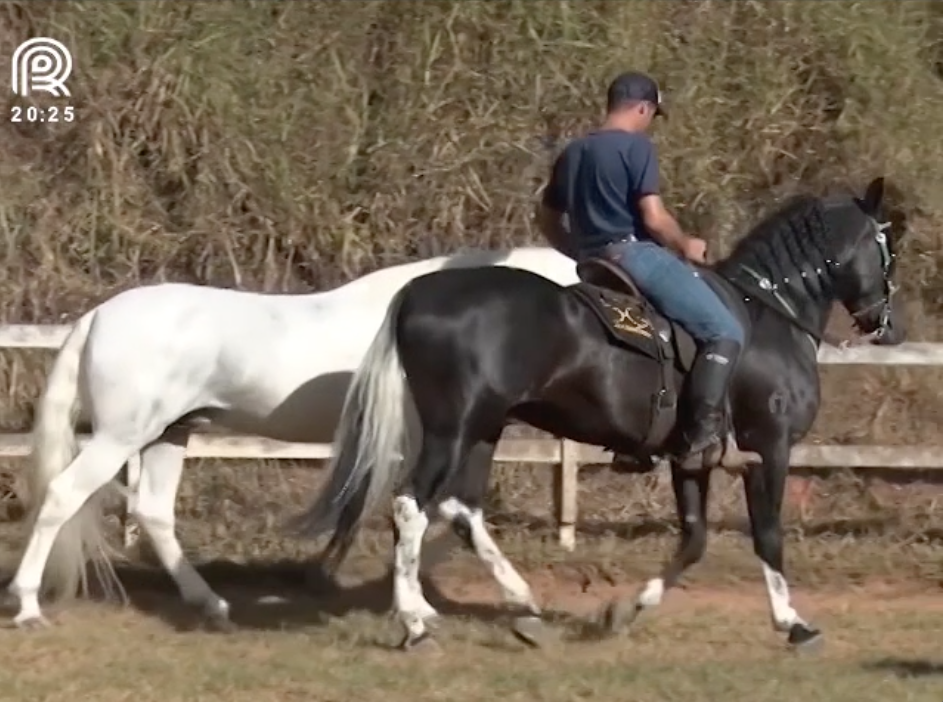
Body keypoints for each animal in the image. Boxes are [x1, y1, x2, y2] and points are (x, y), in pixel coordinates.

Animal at [7, 246, 580, 628]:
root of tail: (95, 316)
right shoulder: (423, 444)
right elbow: (424, 513)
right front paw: (419, 604)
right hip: (120, 437)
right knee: (62, 497)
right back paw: (28, 605)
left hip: (169, 434)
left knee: (152, 512)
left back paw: (211, 603)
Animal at [294, 177, 908, 656]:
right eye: (887, 246)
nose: (889, 324)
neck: (769, 319)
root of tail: (418, 292)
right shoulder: (770, 448)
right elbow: (768, 537)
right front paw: (794, 624)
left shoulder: (691, 460)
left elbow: (693, 540)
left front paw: (625, 611)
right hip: (456, 428)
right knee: (412, 506)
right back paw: (417, 622)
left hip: (484, 429)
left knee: (461, 510)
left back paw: (519, 608)